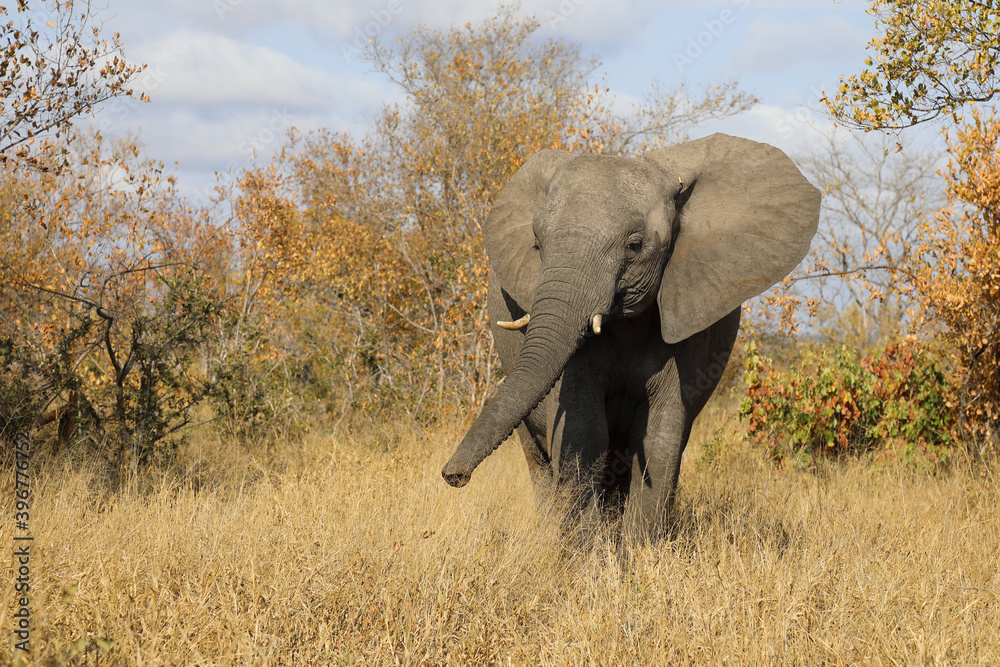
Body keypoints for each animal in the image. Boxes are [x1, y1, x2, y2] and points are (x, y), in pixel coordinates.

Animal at [441, 133, 821, 532]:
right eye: (537, 243)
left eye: (635, 245)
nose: (453, 477)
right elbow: (584, 430)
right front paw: (586, 547)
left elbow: (659, 436)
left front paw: (640, 547)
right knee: (540, 458)